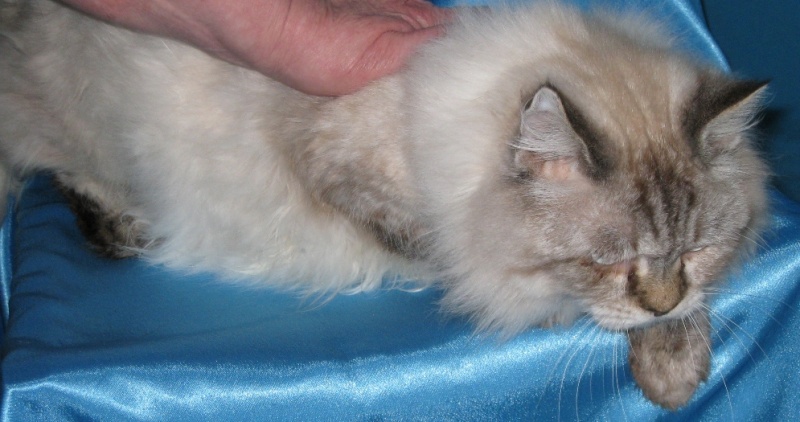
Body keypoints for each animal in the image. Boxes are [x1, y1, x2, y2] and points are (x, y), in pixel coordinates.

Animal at [0, 0, 768, 410]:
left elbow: (690, 309)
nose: (660, 300)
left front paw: (672, 371)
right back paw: (121, 225)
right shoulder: (335, 164)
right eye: (606, 262)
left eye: (693, 251)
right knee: (55, 167)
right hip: (89, 127)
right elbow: (445, 251)